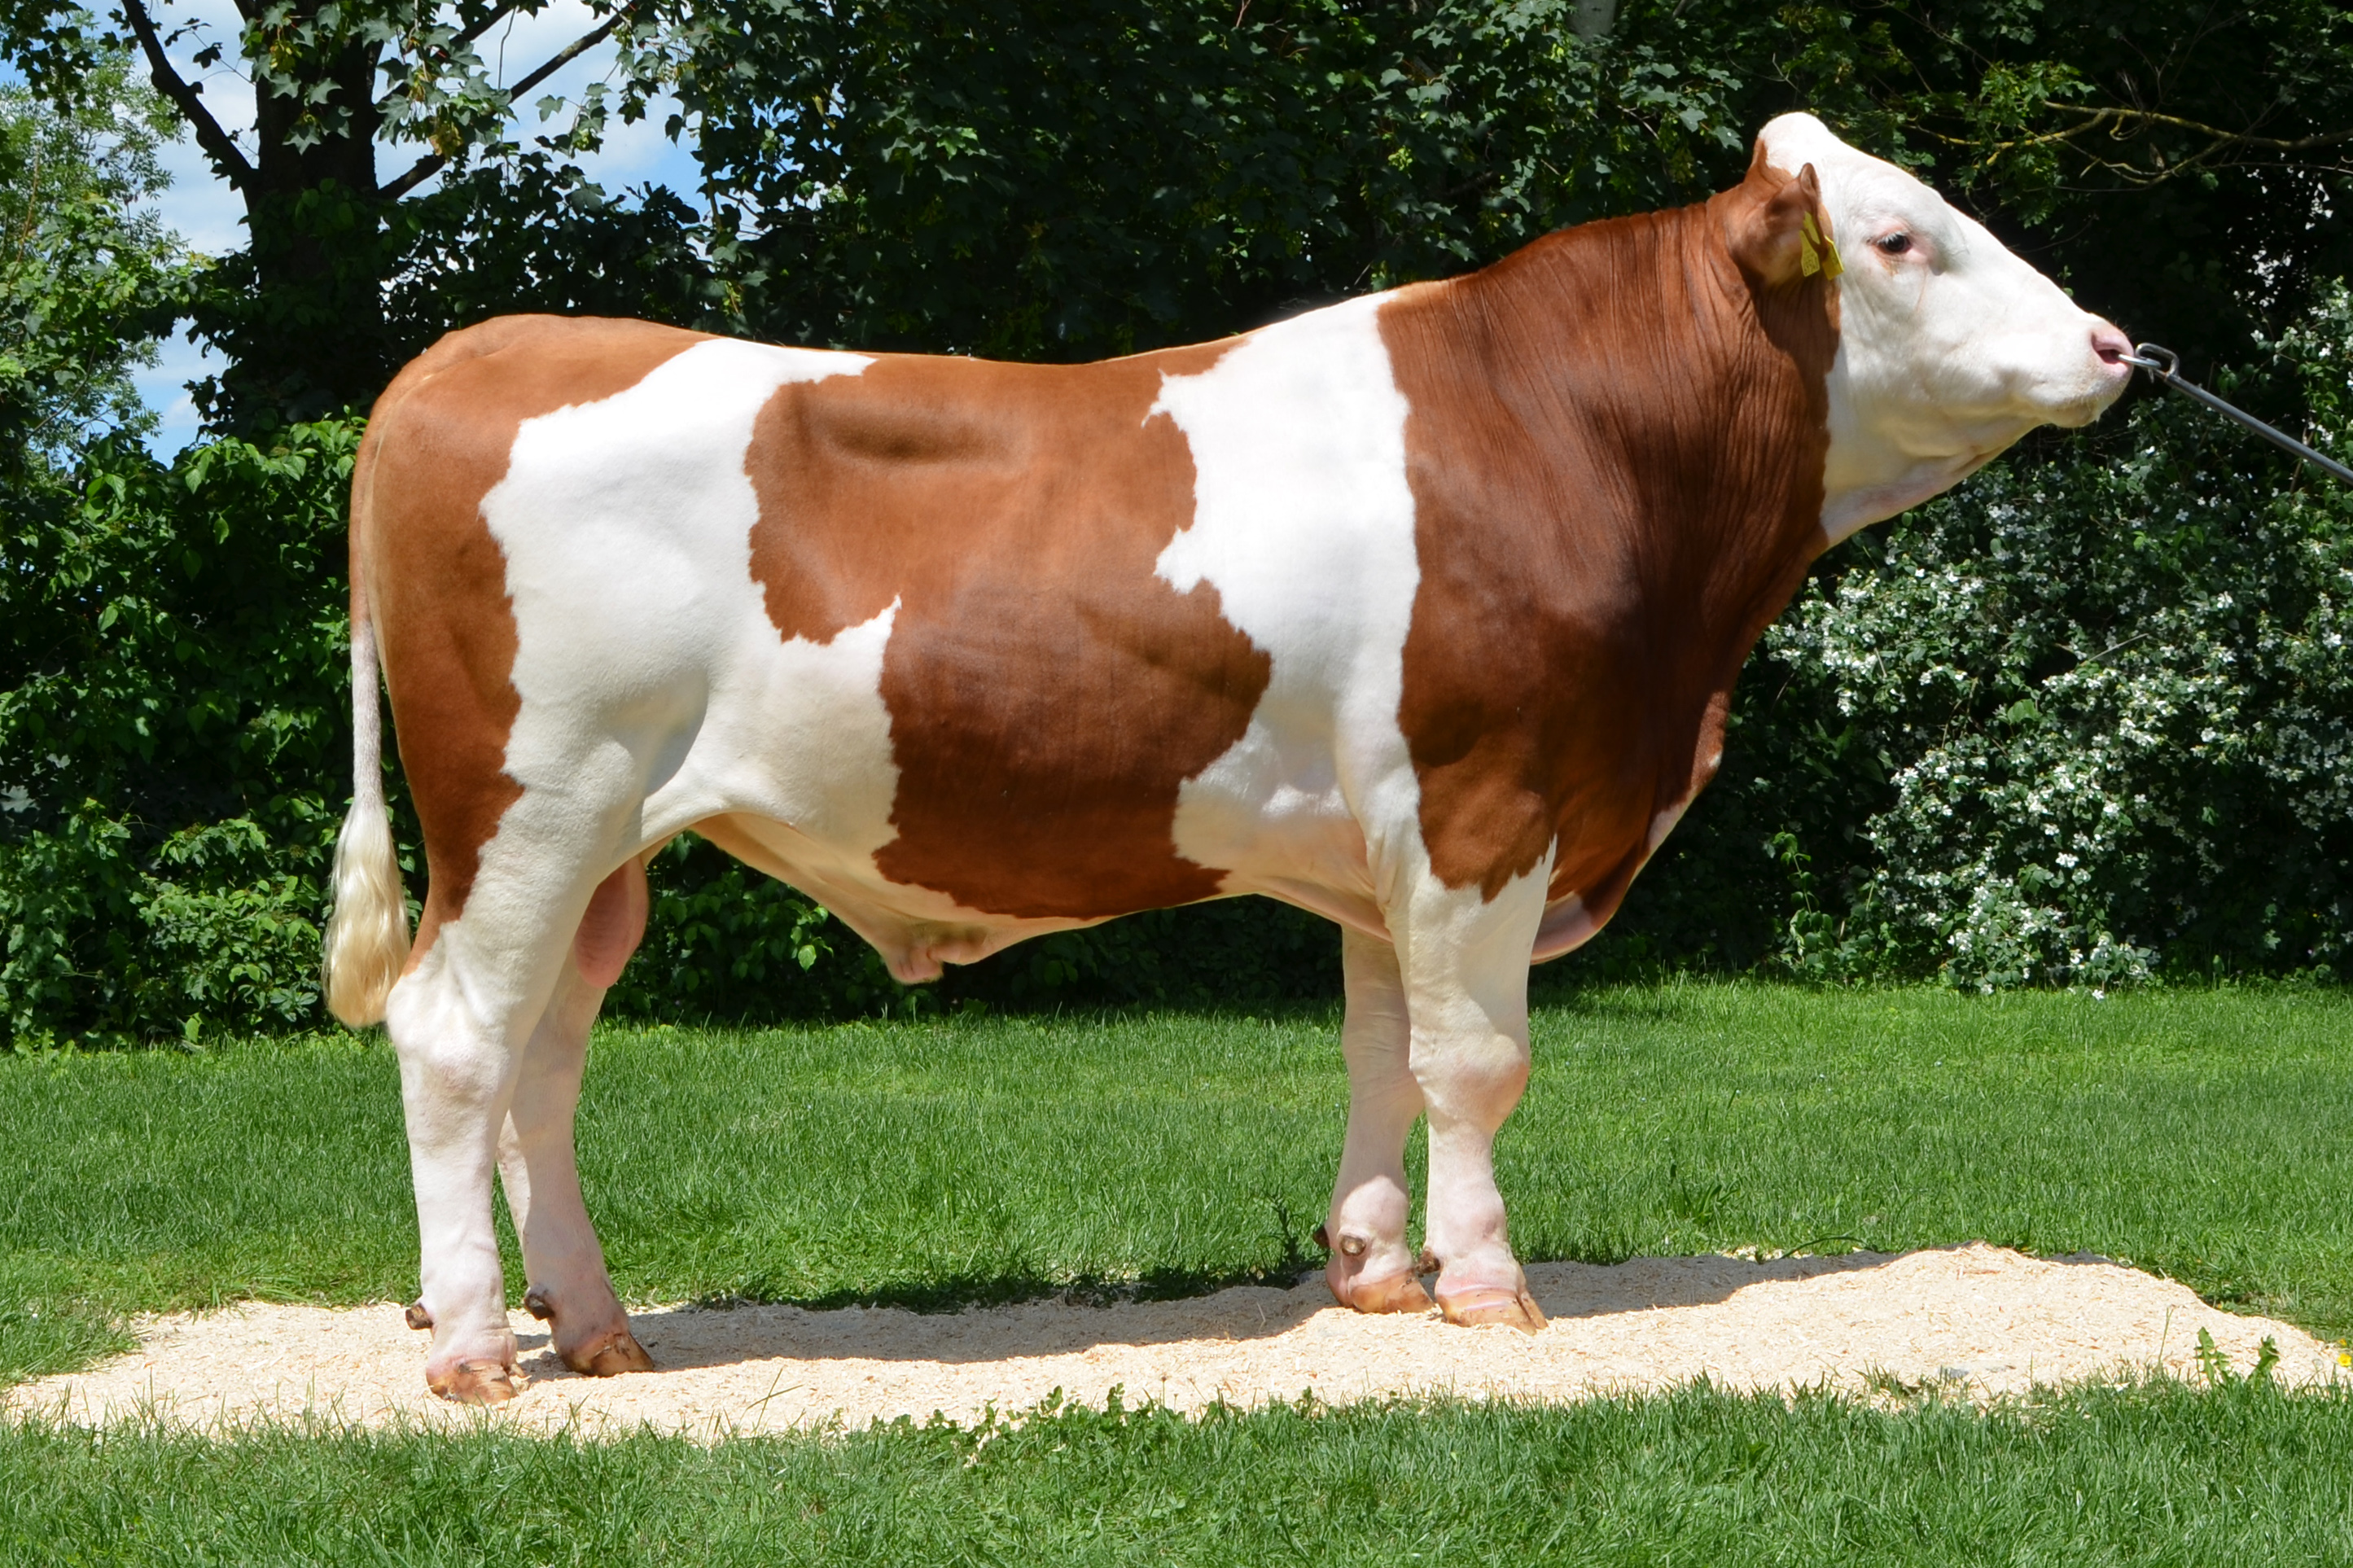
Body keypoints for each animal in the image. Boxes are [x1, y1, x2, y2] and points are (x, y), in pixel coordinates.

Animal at [323, 113, 2132, 1402]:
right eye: (1898, 238)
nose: (2120, 347)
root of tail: (478, 350)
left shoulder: (1386, 836)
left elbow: (1383, 1051)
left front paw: (1376, 1274)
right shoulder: (1486, 802)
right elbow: (1480, 1065)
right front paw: (1490, 1290)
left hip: (609, 845)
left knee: (544, 1066)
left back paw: (597, 1326)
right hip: (532, 808)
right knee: (455, 1042)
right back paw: (476, 1351)